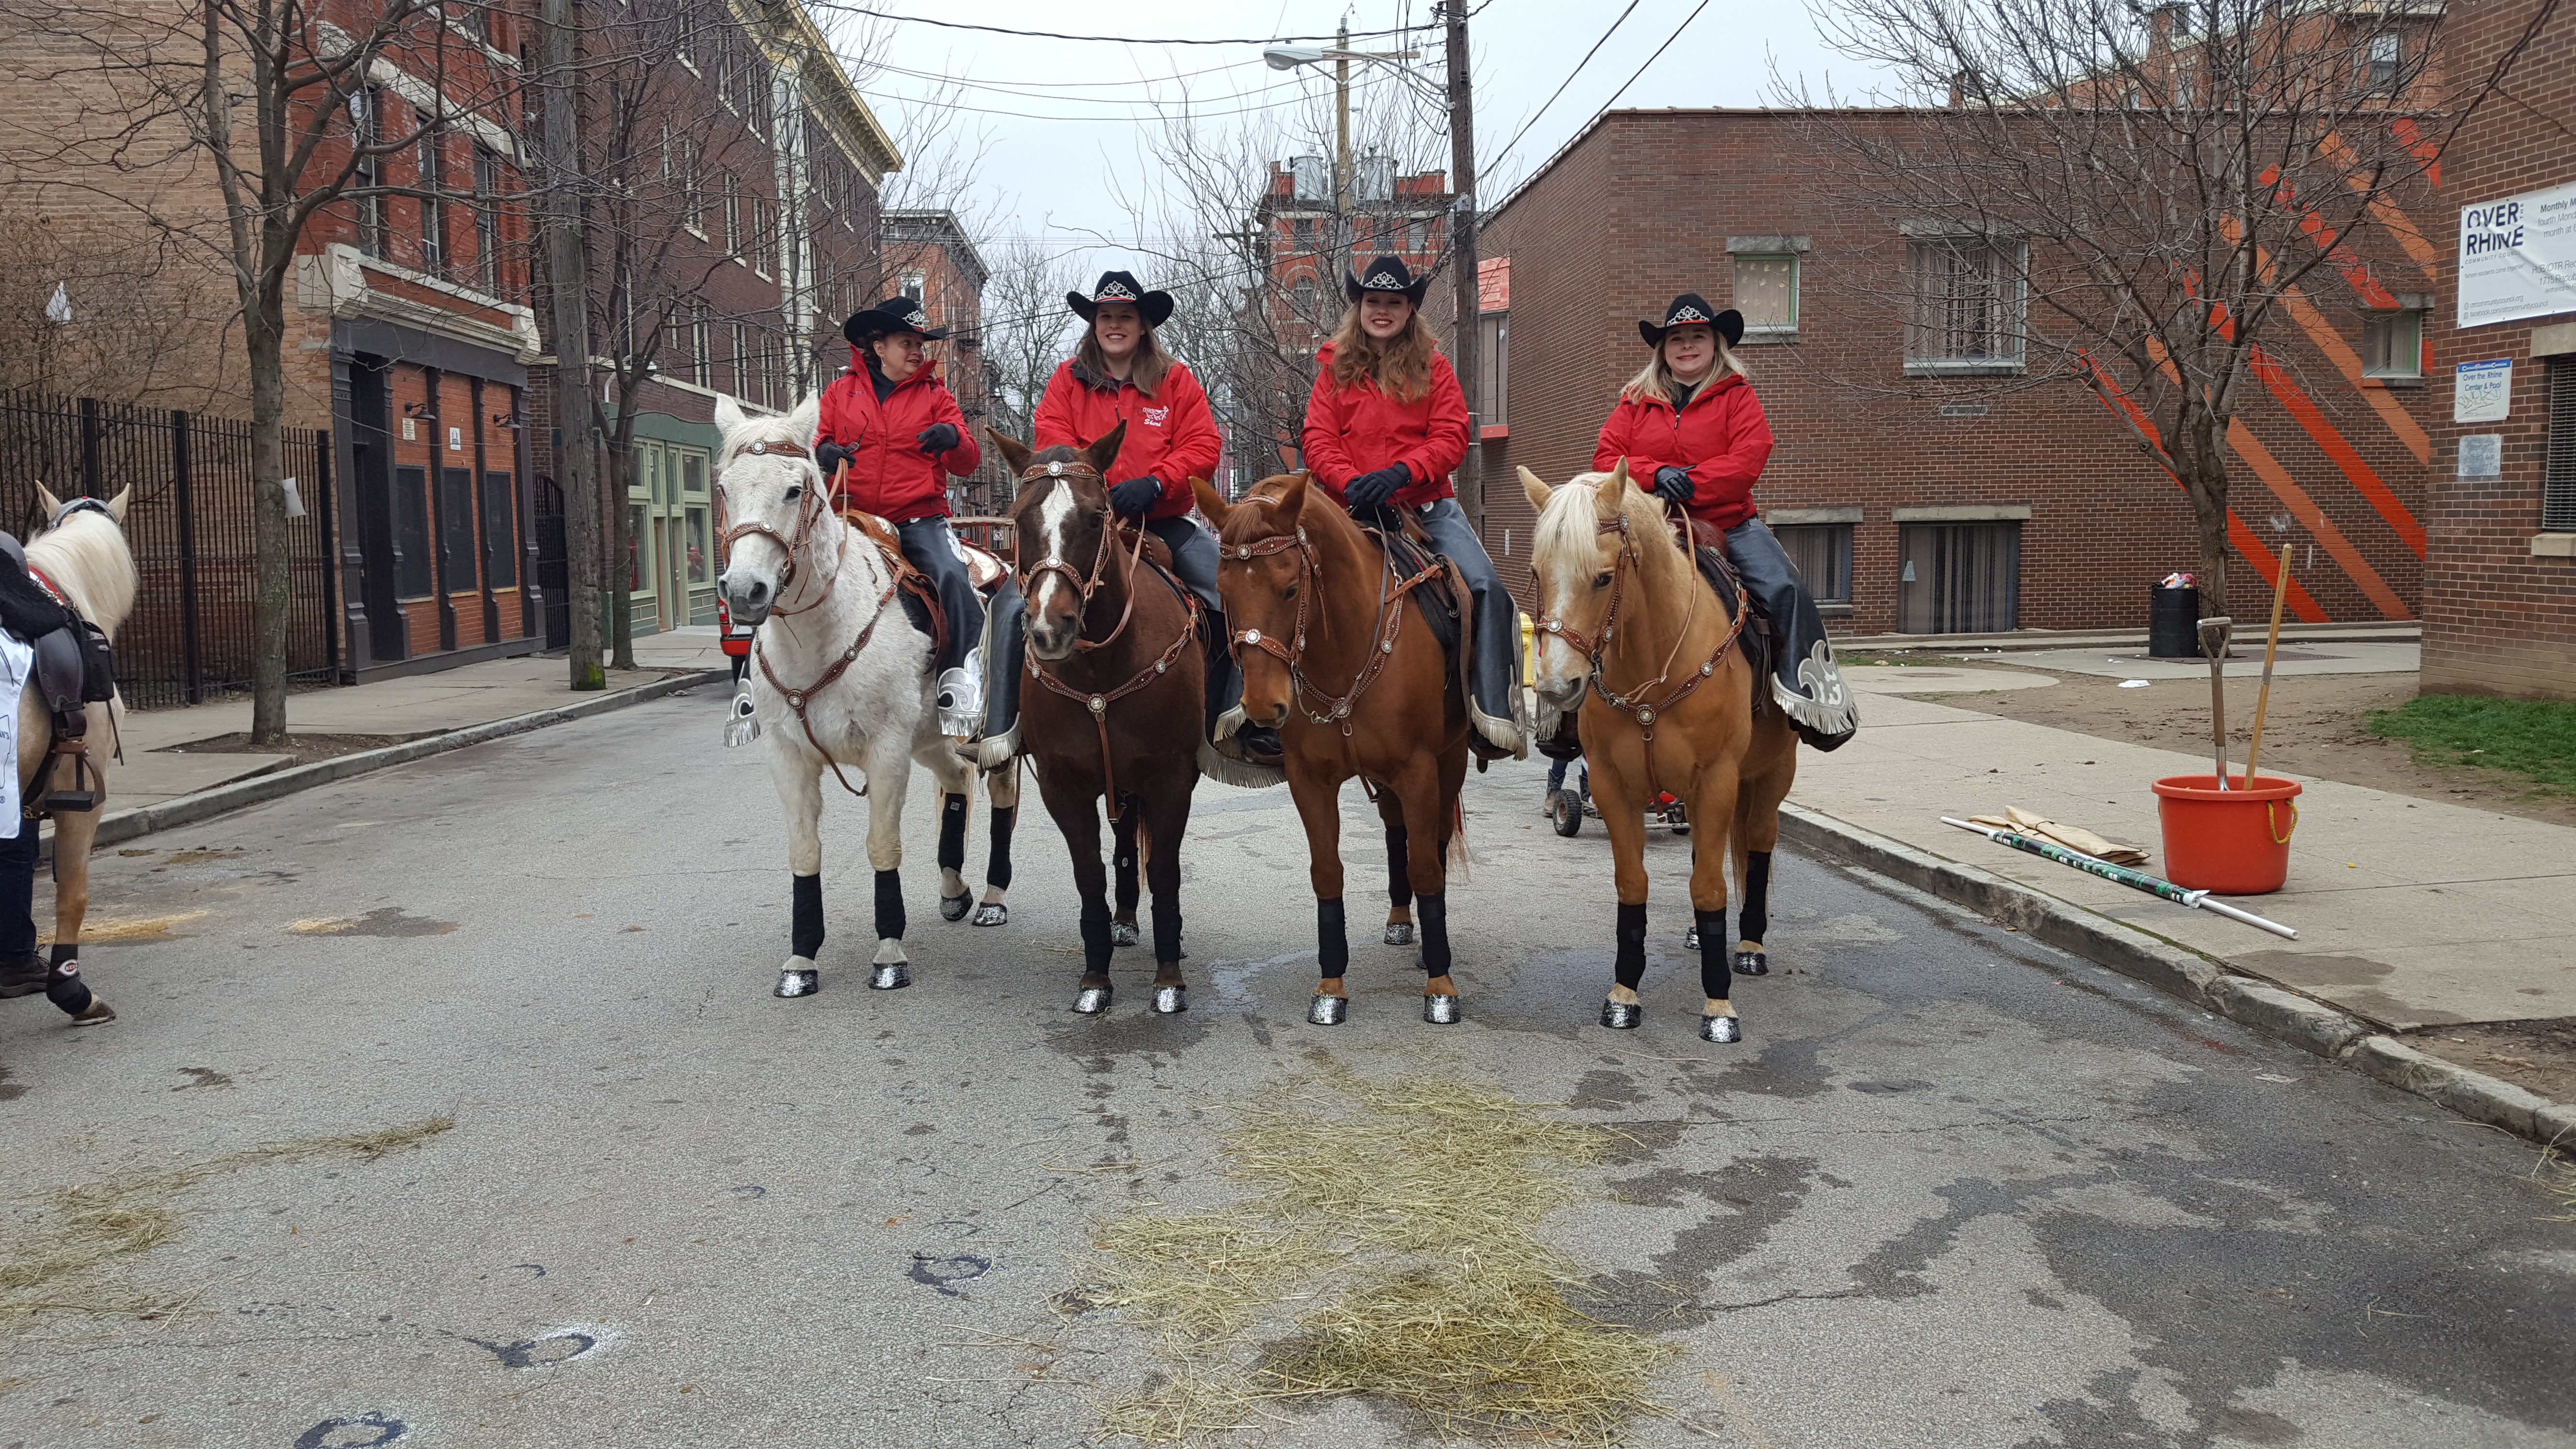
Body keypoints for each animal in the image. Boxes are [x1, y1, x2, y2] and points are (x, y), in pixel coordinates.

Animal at [716, 394, 1025, 990]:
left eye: (795, 489)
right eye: (723, 488)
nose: (744, 591)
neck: (819, 635)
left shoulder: (885, 751)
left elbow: (883, 845)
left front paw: (889, 954)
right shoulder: (788, 757)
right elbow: (804, 852)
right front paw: (801, 961)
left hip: (989, 735)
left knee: (1000, 794)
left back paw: (994, 898)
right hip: (929, 740)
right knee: (957, 781)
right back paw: (954, 889)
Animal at [984, 422, 1206, 1011]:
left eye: (1093, 518)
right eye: (1019, 519)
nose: (1049, 628)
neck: (1100, 672)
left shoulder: (1171, 779)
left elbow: (1166, 872)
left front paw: (1168, 978)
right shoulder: (1063, 786)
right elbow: (1089, 874)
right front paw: (1095, 977)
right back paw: (1123, 920)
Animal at [1190, 469, 1473, 1021]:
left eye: (1289, 588)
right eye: (1223, 589)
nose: (1263, 705)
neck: (1345, 651)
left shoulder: (1419, 771)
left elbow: (1427, 867)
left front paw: (1440, 985)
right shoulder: (1310, 780)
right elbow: (1327, 873)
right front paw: (1330, 986)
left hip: (1449, 764)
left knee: (1431, 842)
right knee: (1394, 831)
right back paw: (1399, 919)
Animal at [1504, 461, 1793, 1036]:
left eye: (1603, 577)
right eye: (1537, 572)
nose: (1556, 686)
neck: (1655, 661)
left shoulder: (1717, 780)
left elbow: (1710, 888)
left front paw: (1718, 1006)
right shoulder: (1615, 786)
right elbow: (1634, 883)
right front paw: (1624, 995)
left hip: (1772, 775)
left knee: (1757, 844)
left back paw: (1749, 946)